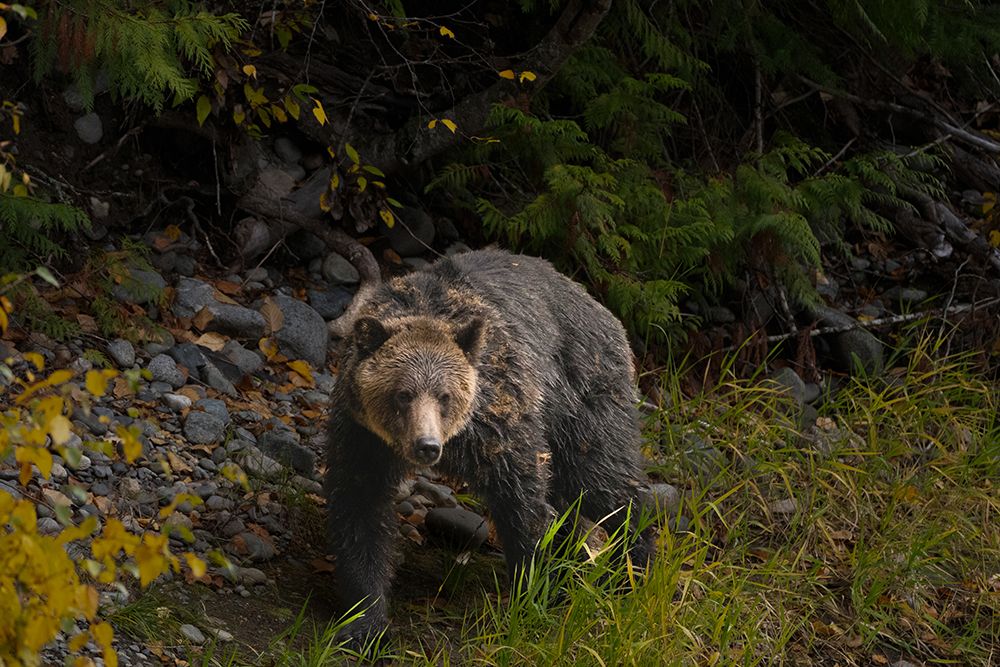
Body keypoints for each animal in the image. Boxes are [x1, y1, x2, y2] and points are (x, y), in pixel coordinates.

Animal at [324, 248, 654, 644]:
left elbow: (522, 500)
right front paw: (364, 621)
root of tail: (603, 308)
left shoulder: (498, 418)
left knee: (602, 480)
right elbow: (360, 508)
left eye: (444, 395)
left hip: (582, 397)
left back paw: (631, 571)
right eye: (402, 394)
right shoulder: (365, 436)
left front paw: (534, 591)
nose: (426, 446)